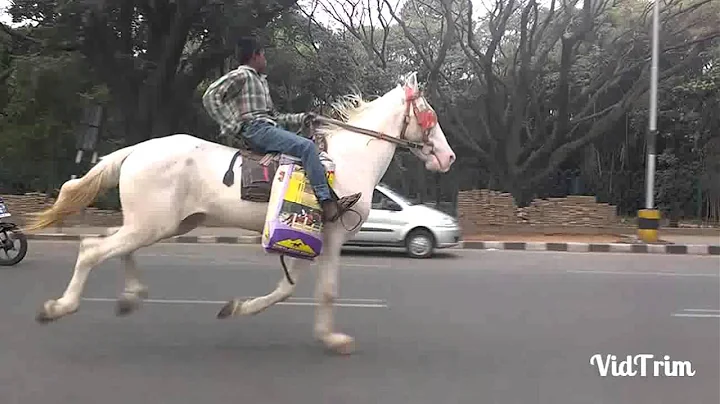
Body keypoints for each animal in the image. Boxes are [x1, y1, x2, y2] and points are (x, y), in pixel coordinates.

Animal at [26, 72, 456, 354]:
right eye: (430, 116)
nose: (448, 157)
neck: (349, 159)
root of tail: (136, 150)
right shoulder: (333, 234)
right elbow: (327, 291)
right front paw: (334, 340)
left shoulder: (305, 236)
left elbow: (286, 289)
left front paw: (238, 308)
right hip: (153, 223)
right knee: (92, 248)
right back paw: (58, 307)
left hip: (162, 224)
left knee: (117, 246)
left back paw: (131, 296)